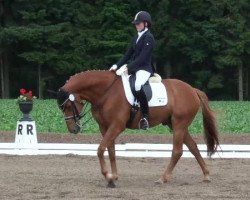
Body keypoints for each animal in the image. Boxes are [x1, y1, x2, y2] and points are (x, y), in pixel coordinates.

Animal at [56, 70, 219, 188]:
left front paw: (108, 177)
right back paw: (206, 175)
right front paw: (114, 177)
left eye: (68, 105)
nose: (73, 129)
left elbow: (100, 149)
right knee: (193, 146)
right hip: (174, 124)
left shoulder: (117, 126)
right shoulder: (105, 127)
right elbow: (111, 151)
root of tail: (192, 89)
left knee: (177, 151)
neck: (106, 92)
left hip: (179, 124)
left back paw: (163, 178)